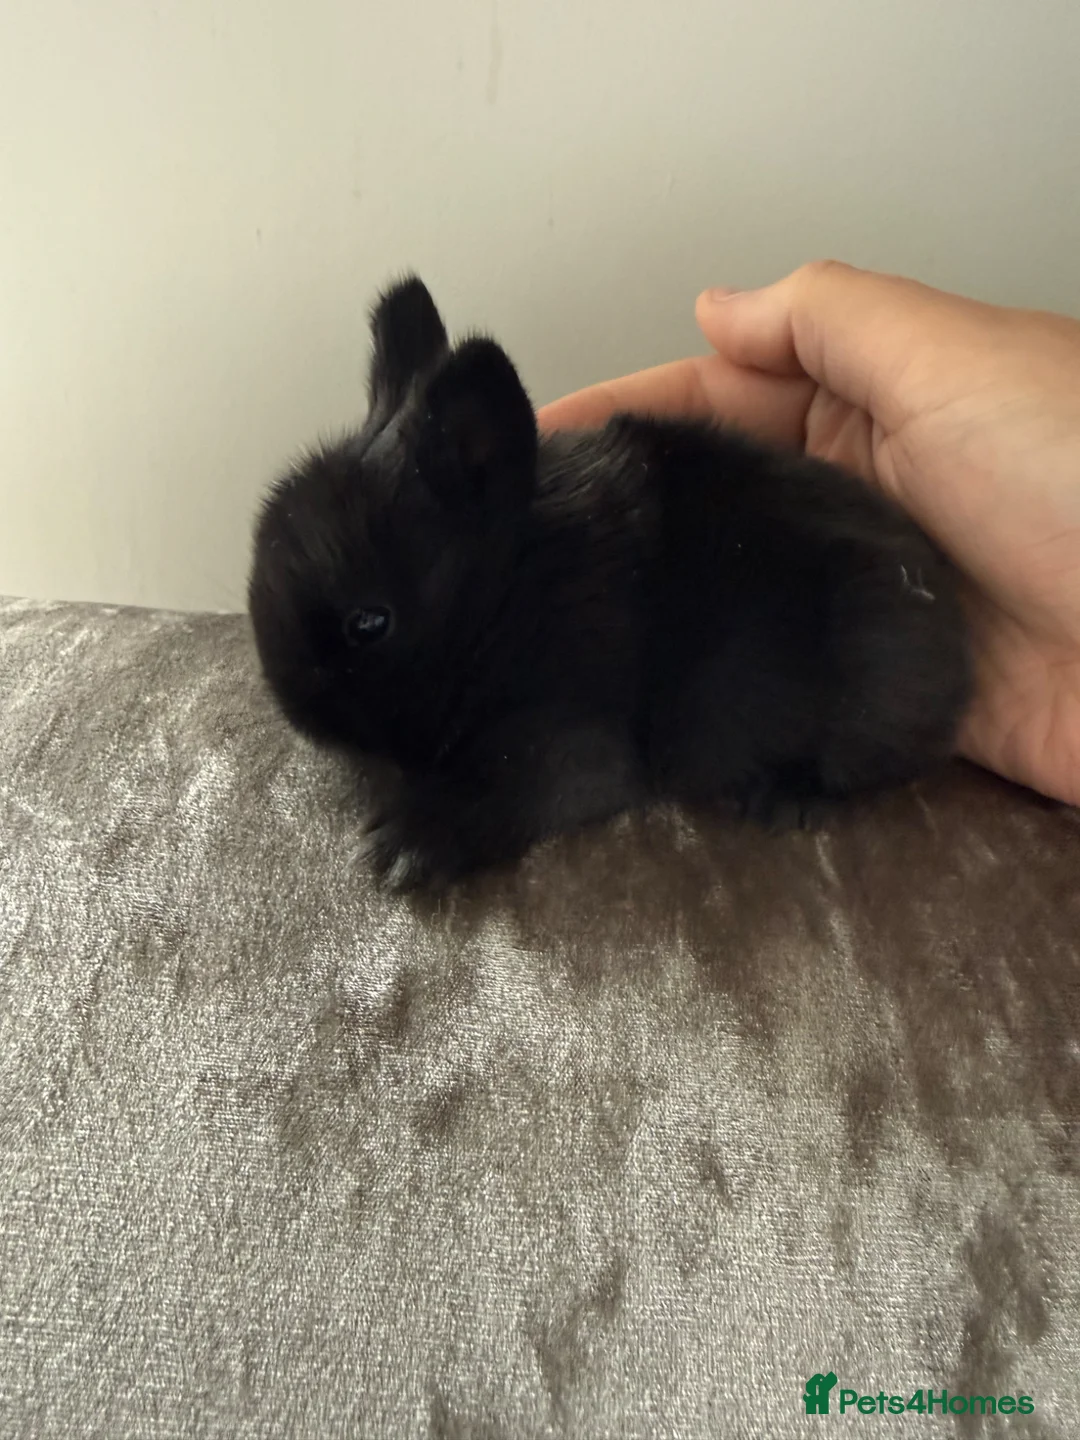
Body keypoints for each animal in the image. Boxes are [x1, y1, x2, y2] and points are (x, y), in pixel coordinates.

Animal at [248, 275, 972, 890]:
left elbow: (504, 787)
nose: (298, 719)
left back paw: (784, 798)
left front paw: (406, 845)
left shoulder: (573, 744)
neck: (503, 603)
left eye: (370, 623)